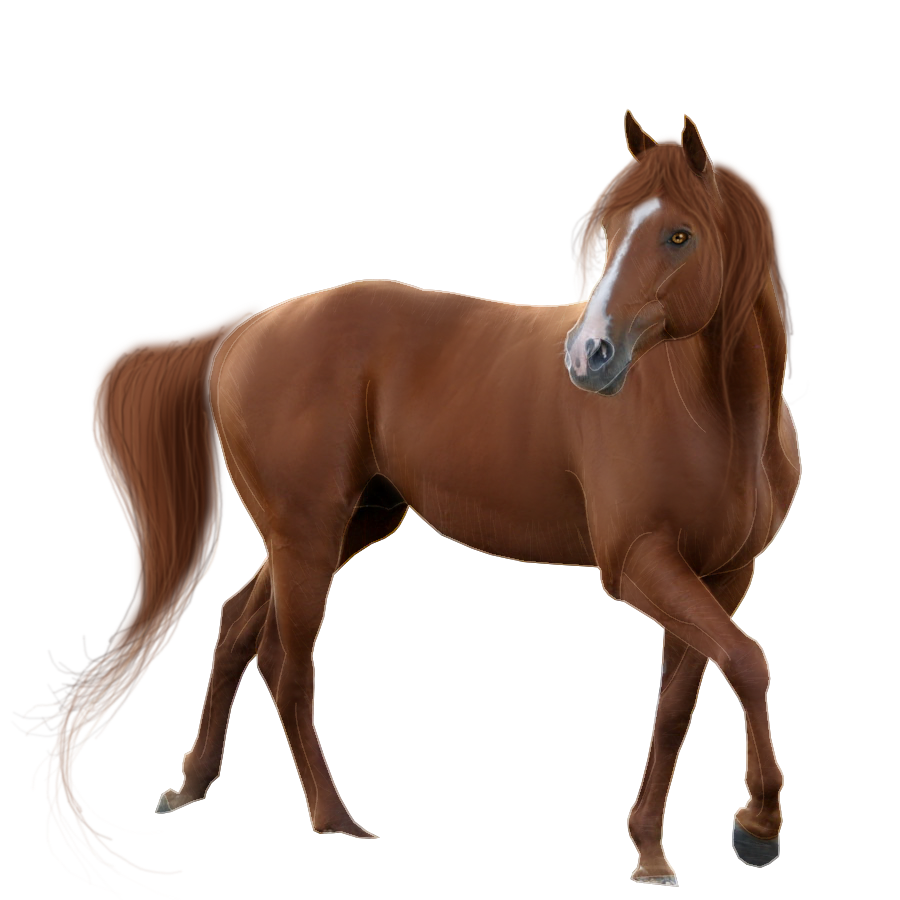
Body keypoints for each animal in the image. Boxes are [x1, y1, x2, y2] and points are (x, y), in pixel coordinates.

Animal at [21, 109, 798, 894]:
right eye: (605, 237)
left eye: (680, 235)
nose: (589, 358)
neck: (718, 416)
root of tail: (249, 328)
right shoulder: (639, 564)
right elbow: (749, 661)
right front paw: (756, 827)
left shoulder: (722, 577)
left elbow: (682, 702)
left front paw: (651, 853)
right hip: (307, 536)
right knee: (291, 668)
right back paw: (336, 820)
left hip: (336, 529)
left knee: (238, 624)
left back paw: (192, 784)